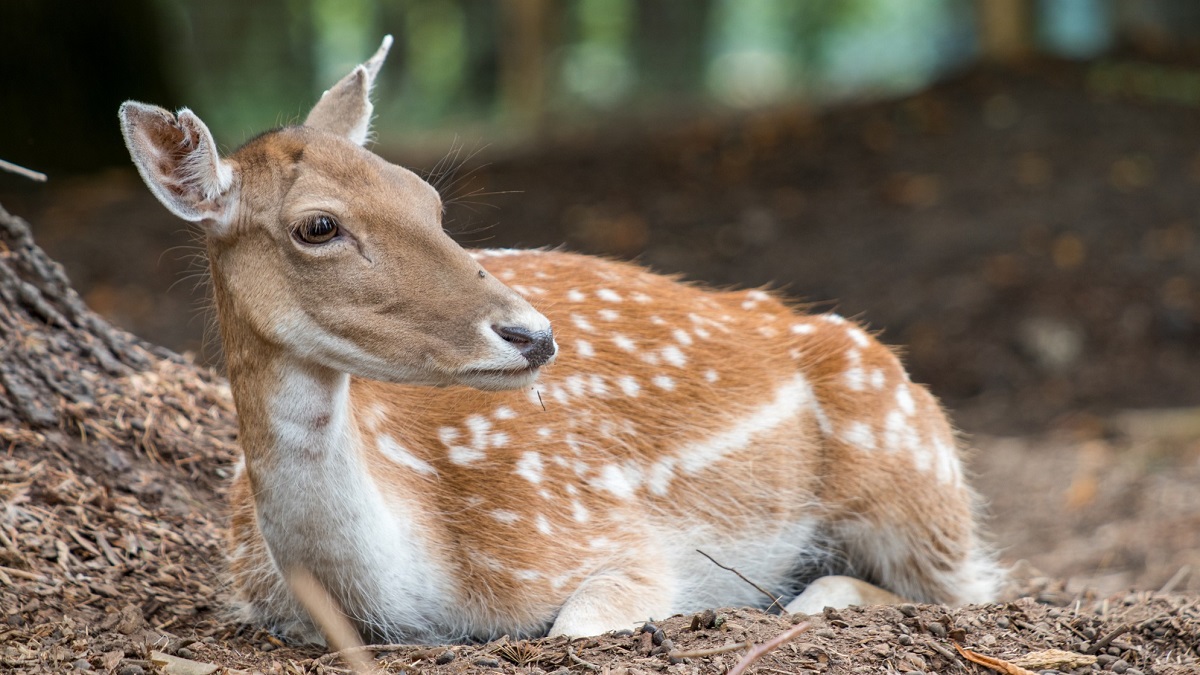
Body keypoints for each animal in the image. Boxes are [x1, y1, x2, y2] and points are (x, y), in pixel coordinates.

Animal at [119, 35, 1003, 638]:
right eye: (318, 226)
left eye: (426, 199)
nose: (532, 334)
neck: (408, 590)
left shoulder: (611, 537)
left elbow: (573, 625)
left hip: (917, 481)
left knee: (976, 586)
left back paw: (809, 595)